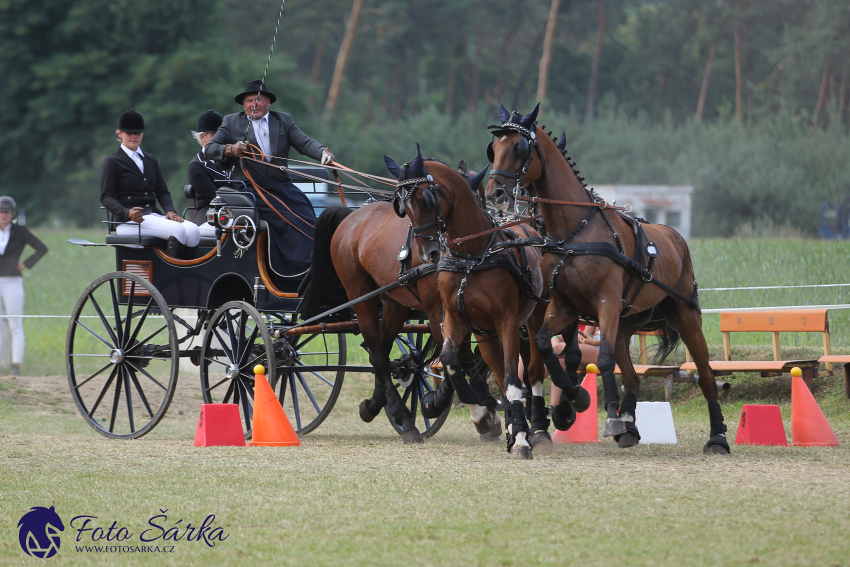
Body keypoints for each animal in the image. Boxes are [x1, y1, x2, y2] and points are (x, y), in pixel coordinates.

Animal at [302, 164, 504, 444]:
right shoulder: (437, 309)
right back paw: (402, 417)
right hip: (361, 296)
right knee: (377, 352)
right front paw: (446, 405)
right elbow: (454, 356)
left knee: (381, 350)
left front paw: (483, 408)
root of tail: (352, 217)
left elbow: (467, 358)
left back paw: (376, 405)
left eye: (481, 203)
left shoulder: (462, 310)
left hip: (394, 303)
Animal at [384, 146, 588, 462]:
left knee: (533, 371)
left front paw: (521, 439)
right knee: (499, 372)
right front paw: (477, 410)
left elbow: (515, 380)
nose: (428, 253)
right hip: (486, 334)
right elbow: (451, 359)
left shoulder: (507, 321)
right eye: (402, 206)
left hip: (534, 318)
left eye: (427, 199)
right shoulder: (456, 318)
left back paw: (539, 427)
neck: (472, 256)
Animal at [484, 104, 728, 454]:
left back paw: (717, 437)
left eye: (518, 148)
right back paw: (628, 424)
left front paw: (603, 413)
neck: (575, 231)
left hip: (685, 315)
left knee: (706, 376)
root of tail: (676, 237)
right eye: (494, 148)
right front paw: (573, 400)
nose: (495, 193)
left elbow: (601, 357)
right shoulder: (564, 307)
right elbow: (547, 346)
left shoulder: (606, 304)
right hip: (627, 323)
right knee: (632, 375)